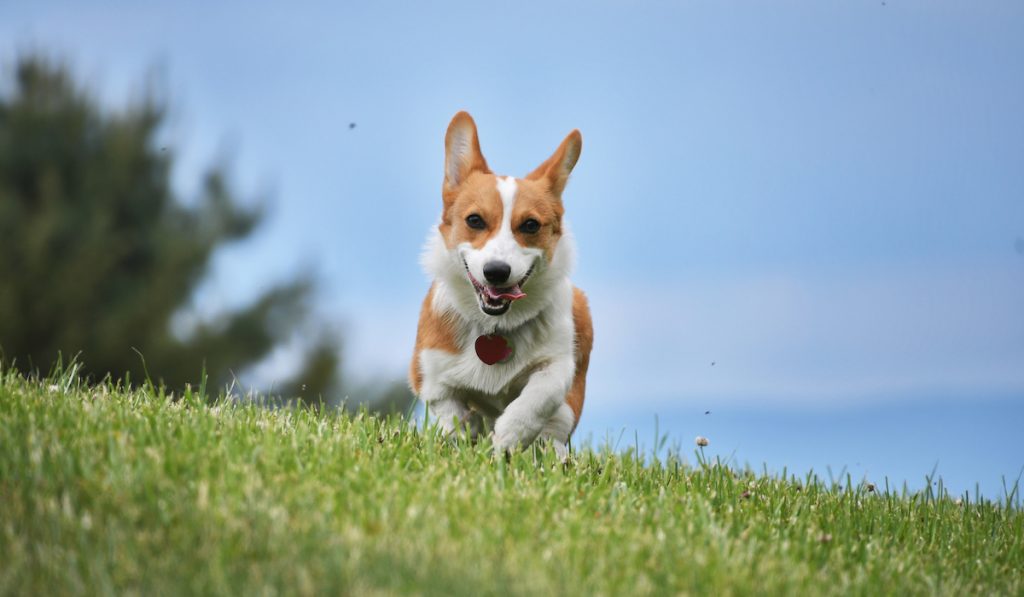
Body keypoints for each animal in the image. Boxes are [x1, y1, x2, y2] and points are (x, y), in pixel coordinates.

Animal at [411, 113, 598, 458]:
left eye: (530, 225)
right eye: (474, 220)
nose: (496, 272)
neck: (494, 326)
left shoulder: (559, 366)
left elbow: (538, 399)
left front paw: (509, 437)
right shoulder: (429, 374)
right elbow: (451, 413)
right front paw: (467, 435)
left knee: (555, 430)